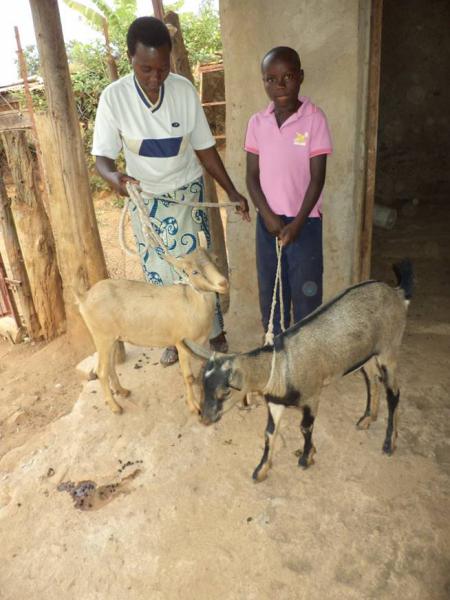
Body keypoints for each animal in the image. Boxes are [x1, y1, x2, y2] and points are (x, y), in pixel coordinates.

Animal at [76, 247, 229, 412]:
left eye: (215, 259)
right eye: (195, 272)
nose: (223, 283)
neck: (191, 302)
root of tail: (84, 297)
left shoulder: (199, 344)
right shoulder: (181, 344)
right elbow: (188, 377)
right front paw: (194, 406)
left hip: (113, 339)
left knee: (110, 366)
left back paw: (122, 391)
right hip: (102, 337)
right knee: (101, 371)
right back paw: (115, 407)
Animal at [183, 260, 412, 480]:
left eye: (226, 391)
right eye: (202, 386)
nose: (205, 419)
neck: (280, 367)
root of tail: (397, 293)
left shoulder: (312, 397)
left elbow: (305, 428)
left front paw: (306, 457)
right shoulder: (275, 404)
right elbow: (269, 433)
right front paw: (261, 470)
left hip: (389, 349)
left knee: (394, 394)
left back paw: (389, 443)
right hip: (368, 355)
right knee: (372, 381)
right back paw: (367, 419)